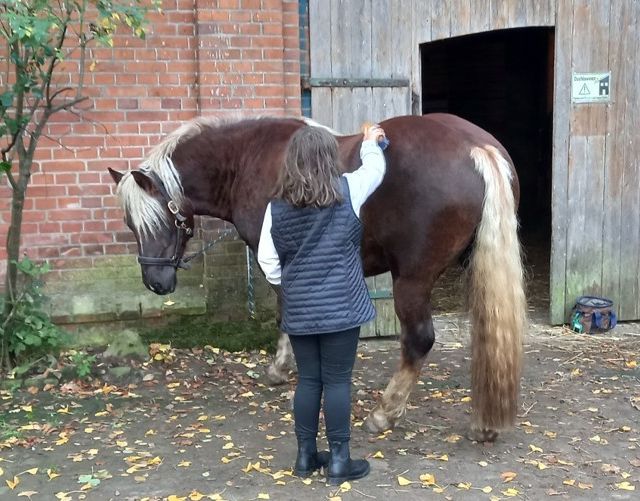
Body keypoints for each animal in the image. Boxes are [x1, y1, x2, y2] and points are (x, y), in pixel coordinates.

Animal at [109, 114, 524, 442]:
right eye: (129, 222)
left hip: (411, 280)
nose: (155, 282)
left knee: (418, 341)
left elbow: (286, 315)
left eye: (157, 218)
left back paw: (384, 413)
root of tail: (477, 148)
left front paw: (280, 369)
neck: (249, 158)